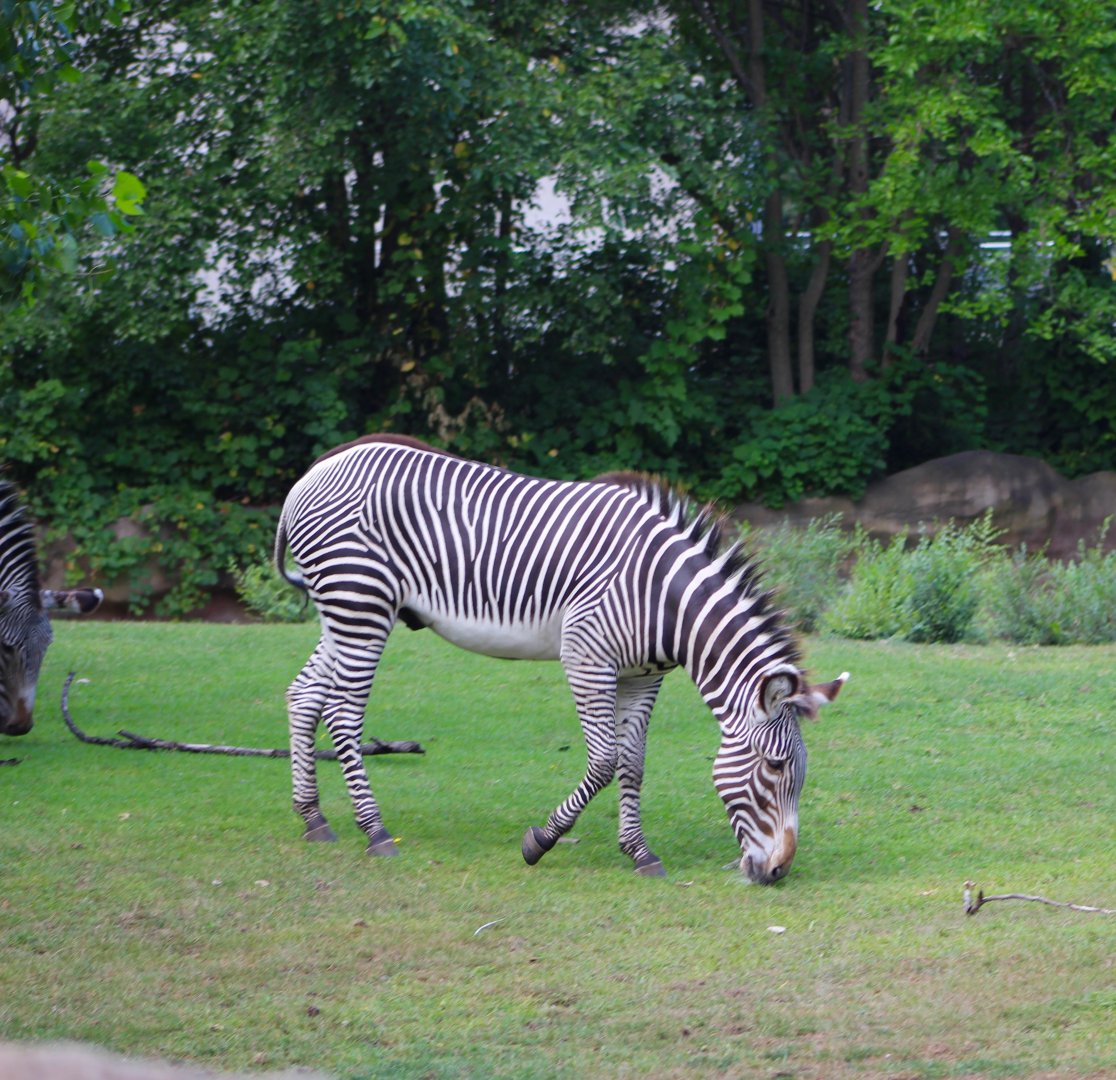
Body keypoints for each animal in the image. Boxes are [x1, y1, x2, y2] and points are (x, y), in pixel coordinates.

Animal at [275, 435, 847, 883]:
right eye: (775, 766)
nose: (779, 872)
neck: (665, 599)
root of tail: (311, 474)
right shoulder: (586, 657)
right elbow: (605, 761)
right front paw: (540, 841)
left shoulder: (644, 677)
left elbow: (633, 762)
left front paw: (639, 852)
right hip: (362, 604)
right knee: (343, 714)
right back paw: (374, 831)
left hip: (345, 610)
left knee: (304, 694)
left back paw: (313, 819)